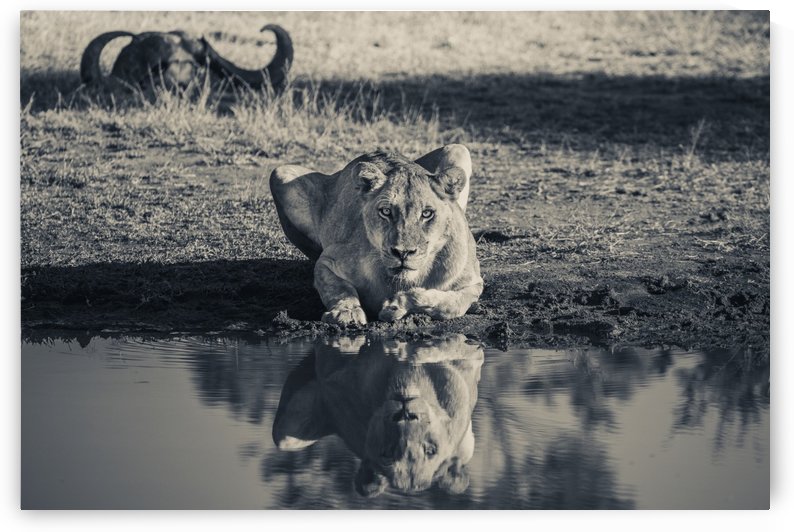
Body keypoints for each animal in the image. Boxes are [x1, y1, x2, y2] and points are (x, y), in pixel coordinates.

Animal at [269, 144, 483, 325]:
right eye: (386, 211)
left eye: (427, 213)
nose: (402, 253)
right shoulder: (328, 261)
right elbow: (339, 290)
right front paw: (346, 312)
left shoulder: (473, 282)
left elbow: (450, 305)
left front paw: (399, 304)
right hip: (279, 173)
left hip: (458, 148)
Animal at [272, 334, 484, 496]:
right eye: (388, 452)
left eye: (431, 450)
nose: (406, 416)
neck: (407, 377)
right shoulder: (332, 377)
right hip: (284, 436)